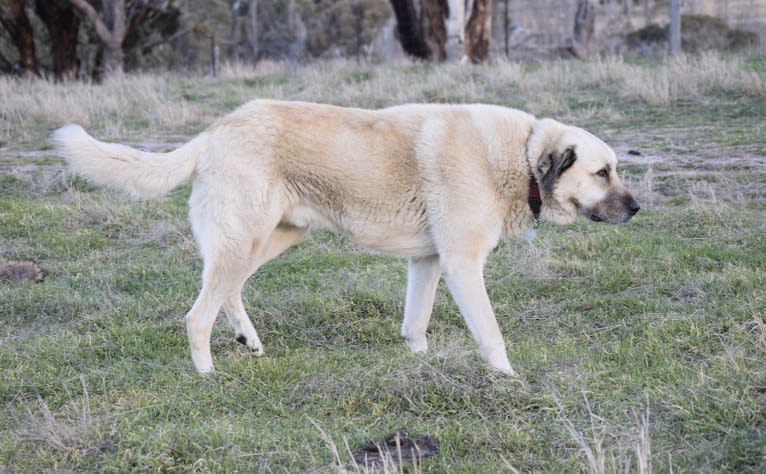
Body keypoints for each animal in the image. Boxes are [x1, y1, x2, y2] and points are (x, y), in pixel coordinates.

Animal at [54, 101, 640, 378]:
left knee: (226, 291)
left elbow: (415, 323)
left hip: (268, 240)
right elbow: (491, 335)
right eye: (603, 172)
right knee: (197, 314)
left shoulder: (428, 263)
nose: (637, 209)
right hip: (246, 241)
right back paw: (207, 375)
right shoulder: (462, 264)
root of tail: (216, 130)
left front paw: (421, 364)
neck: (519, 157)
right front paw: (508, 380)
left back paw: (249, 341)